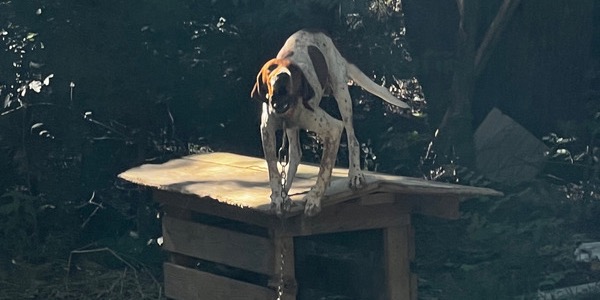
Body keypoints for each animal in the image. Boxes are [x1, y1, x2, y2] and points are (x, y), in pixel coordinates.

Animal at [251, 29, 410, 216]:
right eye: (271, 69)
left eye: (293, 70)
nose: (282, 77)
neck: (286, 112)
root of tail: (314, 31)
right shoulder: (266, 131)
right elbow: (273, 170)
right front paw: (278, 197)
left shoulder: (333, 128)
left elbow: (324, 169)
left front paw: (314, 199)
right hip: (294, 128)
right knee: (295, 155)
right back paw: (287, 189)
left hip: (343, 97)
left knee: (353, 141)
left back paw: (355, 174)